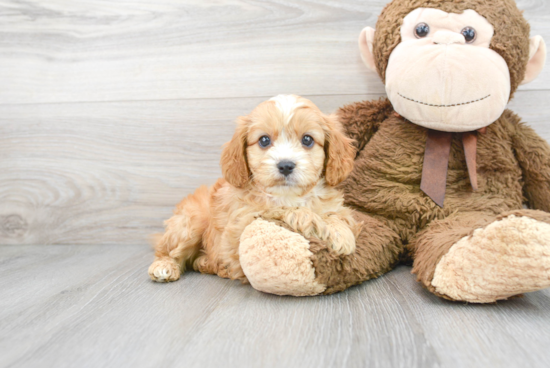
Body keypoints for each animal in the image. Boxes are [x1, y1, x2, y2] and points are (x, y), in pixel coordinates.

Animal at [149, 94, 360, 282]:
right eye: (264, 140)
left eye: (307, 140)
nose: (285, 165)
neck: (288, 195)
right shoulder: (242, 224)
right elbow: (280, 209)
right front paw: (311, 219)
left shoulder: (339, 209)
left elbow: (340, 216)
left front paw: (341, 232)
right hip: (191, 222)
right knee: (167, 250)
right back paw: (164, 266)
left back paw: (208, 264)